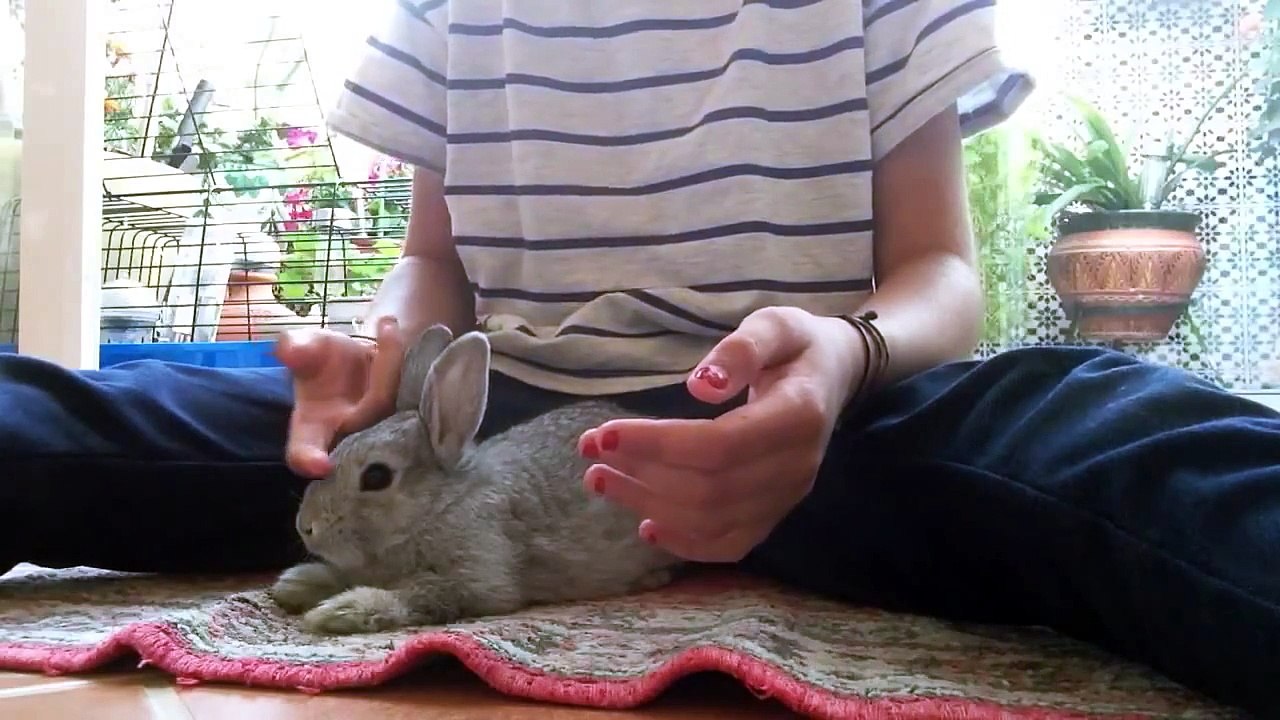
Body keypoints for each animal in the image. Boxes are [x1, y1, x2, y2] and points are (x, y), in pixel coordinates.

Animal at [269, 324, 685, 635]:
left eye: (376, 476)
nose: (306, 527)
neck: (436, 506)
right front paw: (295, 585)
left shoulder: (477, 576)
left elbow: (422, 595)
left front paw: (338, 612)